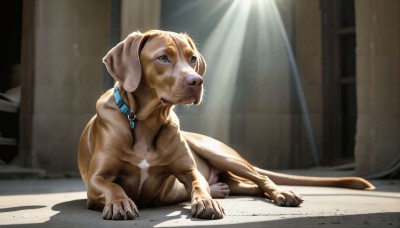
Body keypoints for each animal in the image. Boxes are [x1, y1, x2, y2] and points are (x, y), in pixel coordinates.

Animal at [78, 30, 376, 221]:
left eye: (192, 58)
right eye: (163, 58)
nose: (196, 81)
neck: (146, 120)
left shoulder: (188, 169)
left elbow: (198, 183)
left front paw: (205, 200)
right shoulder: (95, 181)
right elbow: (112, 186)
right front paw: (119, 203)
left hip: (220, 153)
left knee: (261, 180)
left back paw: (278, 193)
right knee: (249, 186)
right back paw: (222, 189)